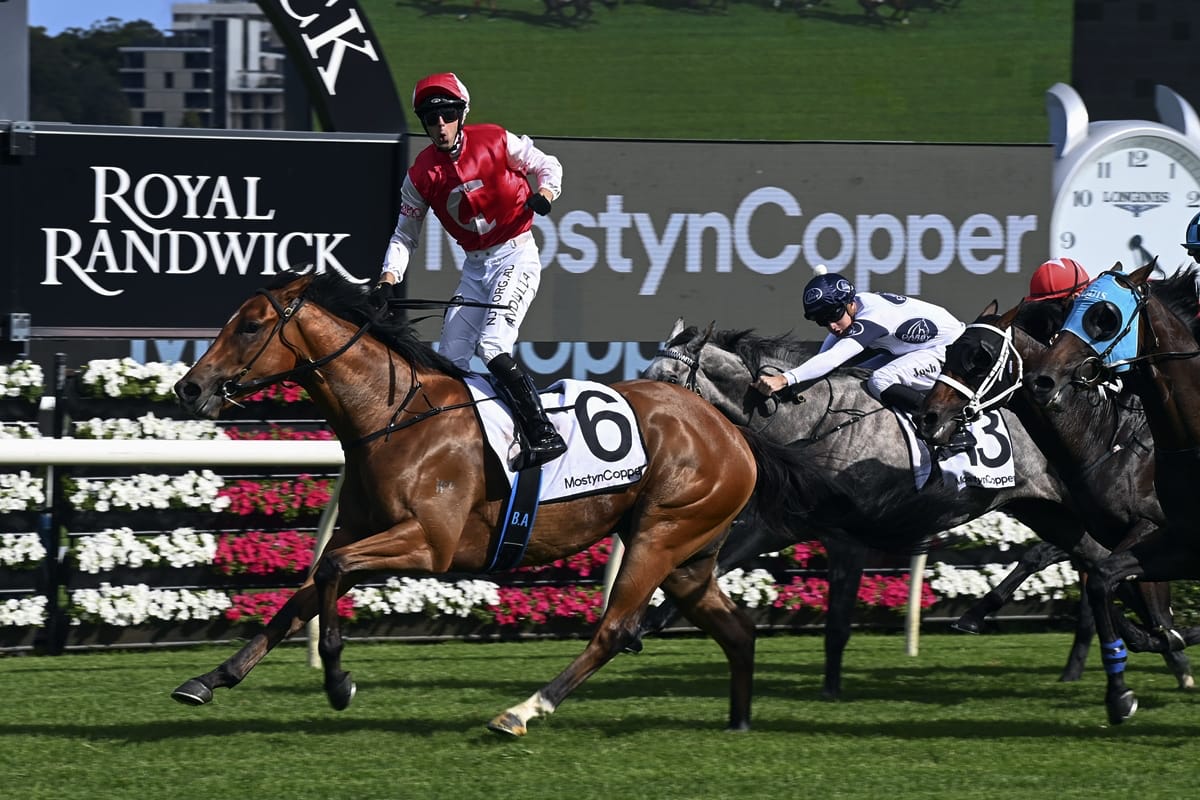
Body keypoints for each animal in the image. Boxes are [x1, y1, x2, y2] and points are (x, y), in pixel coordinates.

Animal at [168, 270, 819, 736]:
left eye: (251, 326)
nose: (189, 387)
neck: (394, 417)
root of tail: (731, 428)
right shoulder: (363, 531)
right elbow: (299, 599)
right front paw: (208, 678)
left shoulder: (429, 543)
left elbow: (327, 571)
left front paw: (337, 679)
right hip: (689, 555)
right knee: (737, 631)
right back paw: (738, 724)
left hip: (660, 536)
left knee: (615, 629)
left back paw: (524, 710)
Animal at [640, 318, 1117, 697]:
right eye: (646, 374)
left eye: (669, 379)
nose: (646, 427)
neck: (811, 421)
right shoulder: (779, 527)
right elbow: (713, 567)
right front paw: (644, 624)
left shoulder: (846, 538)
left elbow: (837, 624)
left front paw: (831, 690)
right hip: (1040, 509)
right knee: (1091, 559)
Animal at [914, 296, 1192, 694]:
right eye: (950, 351)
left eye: (981, 357)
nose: (928, 417)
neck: (1104, 440)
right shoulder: (1100, 529)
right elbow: (1102, 579)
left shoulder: (1152, 525)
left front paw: (1167, 643)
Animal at [1026, 263, 1200, 723]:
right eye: (1066, 314)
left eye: (1103, 316)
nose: (1041, 380)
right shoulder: (1176, 539)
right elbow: (1104, 580)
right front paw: (1120, 692)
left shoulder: (1148, 524)